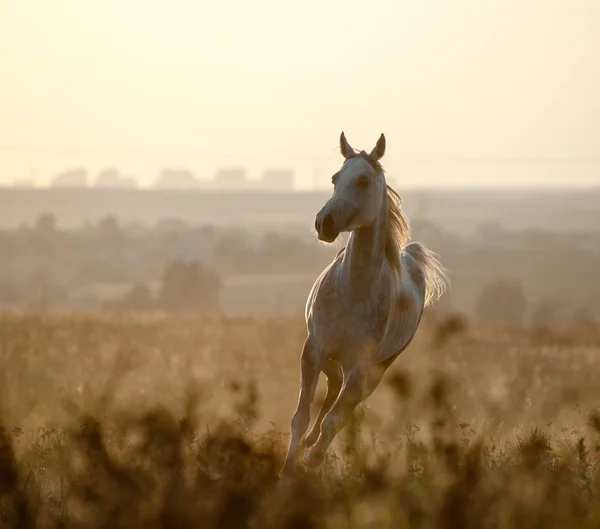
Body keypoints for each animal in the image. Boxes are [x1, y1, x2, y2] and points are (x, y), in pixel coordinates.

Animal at [278, 131, 448, 474]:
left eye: (364, 180)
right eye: (335, 178)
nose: (325, 223)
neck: (353, 291)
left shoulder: (360, 368)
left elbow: (335, 420)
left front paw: (311, 458)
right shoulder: (313, 350)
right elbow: (300, 416)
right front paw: (287, 471)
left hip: (374, 371)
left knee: (342, 407)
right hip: (332, 361)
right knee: (332, 389)